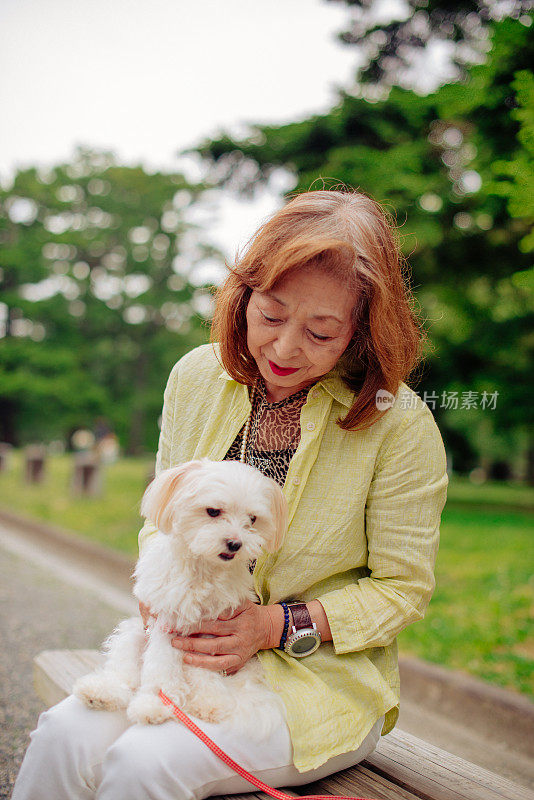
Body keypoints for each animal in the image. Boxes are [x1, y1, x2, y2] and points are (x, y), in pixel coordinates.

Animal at [75, 456, 288, 736]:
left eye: (252, 519)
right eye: (213, 511)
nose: (235, 543)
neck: (203, 570)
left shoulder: (213, 632)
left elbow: (205, 670)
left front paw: (209, 701)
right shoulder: (167, 623)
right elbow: (161, 668)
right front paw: (154, 704)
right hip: (134, 634)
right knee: (125, 674)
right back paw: (103, 693)